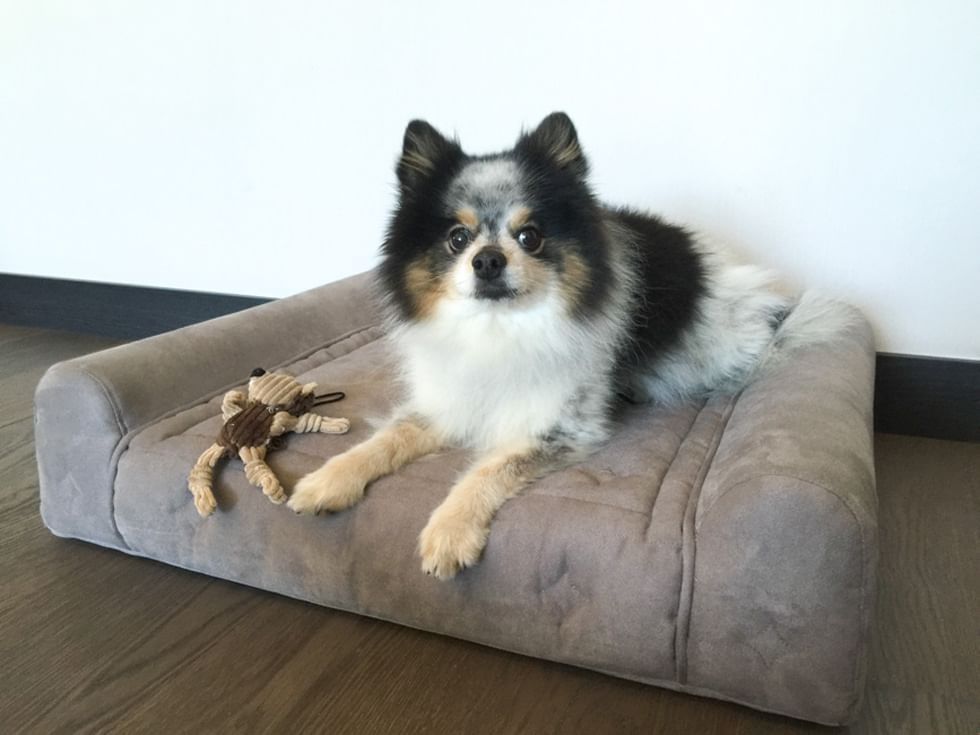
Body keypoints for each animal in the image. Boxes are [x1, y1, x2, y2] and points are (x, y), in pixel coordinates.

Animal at [290, 110, 848, 580]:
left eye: (530, 236)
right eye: (457, 238)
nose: (488, 260)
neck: (498, 330)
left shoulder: (558, 425)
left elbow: (486, 470)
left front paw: (449, 532)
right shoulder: (448, 399)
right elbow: (383, 440)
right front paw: (327, 480)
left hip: (718, 347)